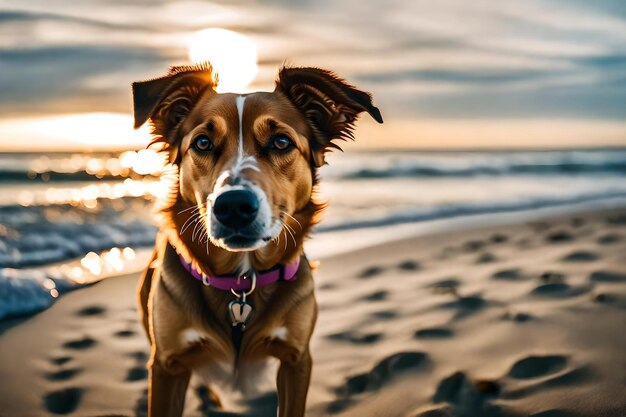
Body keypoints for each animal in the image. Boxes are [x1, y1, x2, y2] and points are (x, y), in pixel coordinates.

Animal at [133, 62, 380, 416]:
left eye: (281, 142)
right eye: (203, 143)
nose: (233, 206)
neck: (242, 282)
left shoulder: (296, 360)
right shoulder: (167, 365)